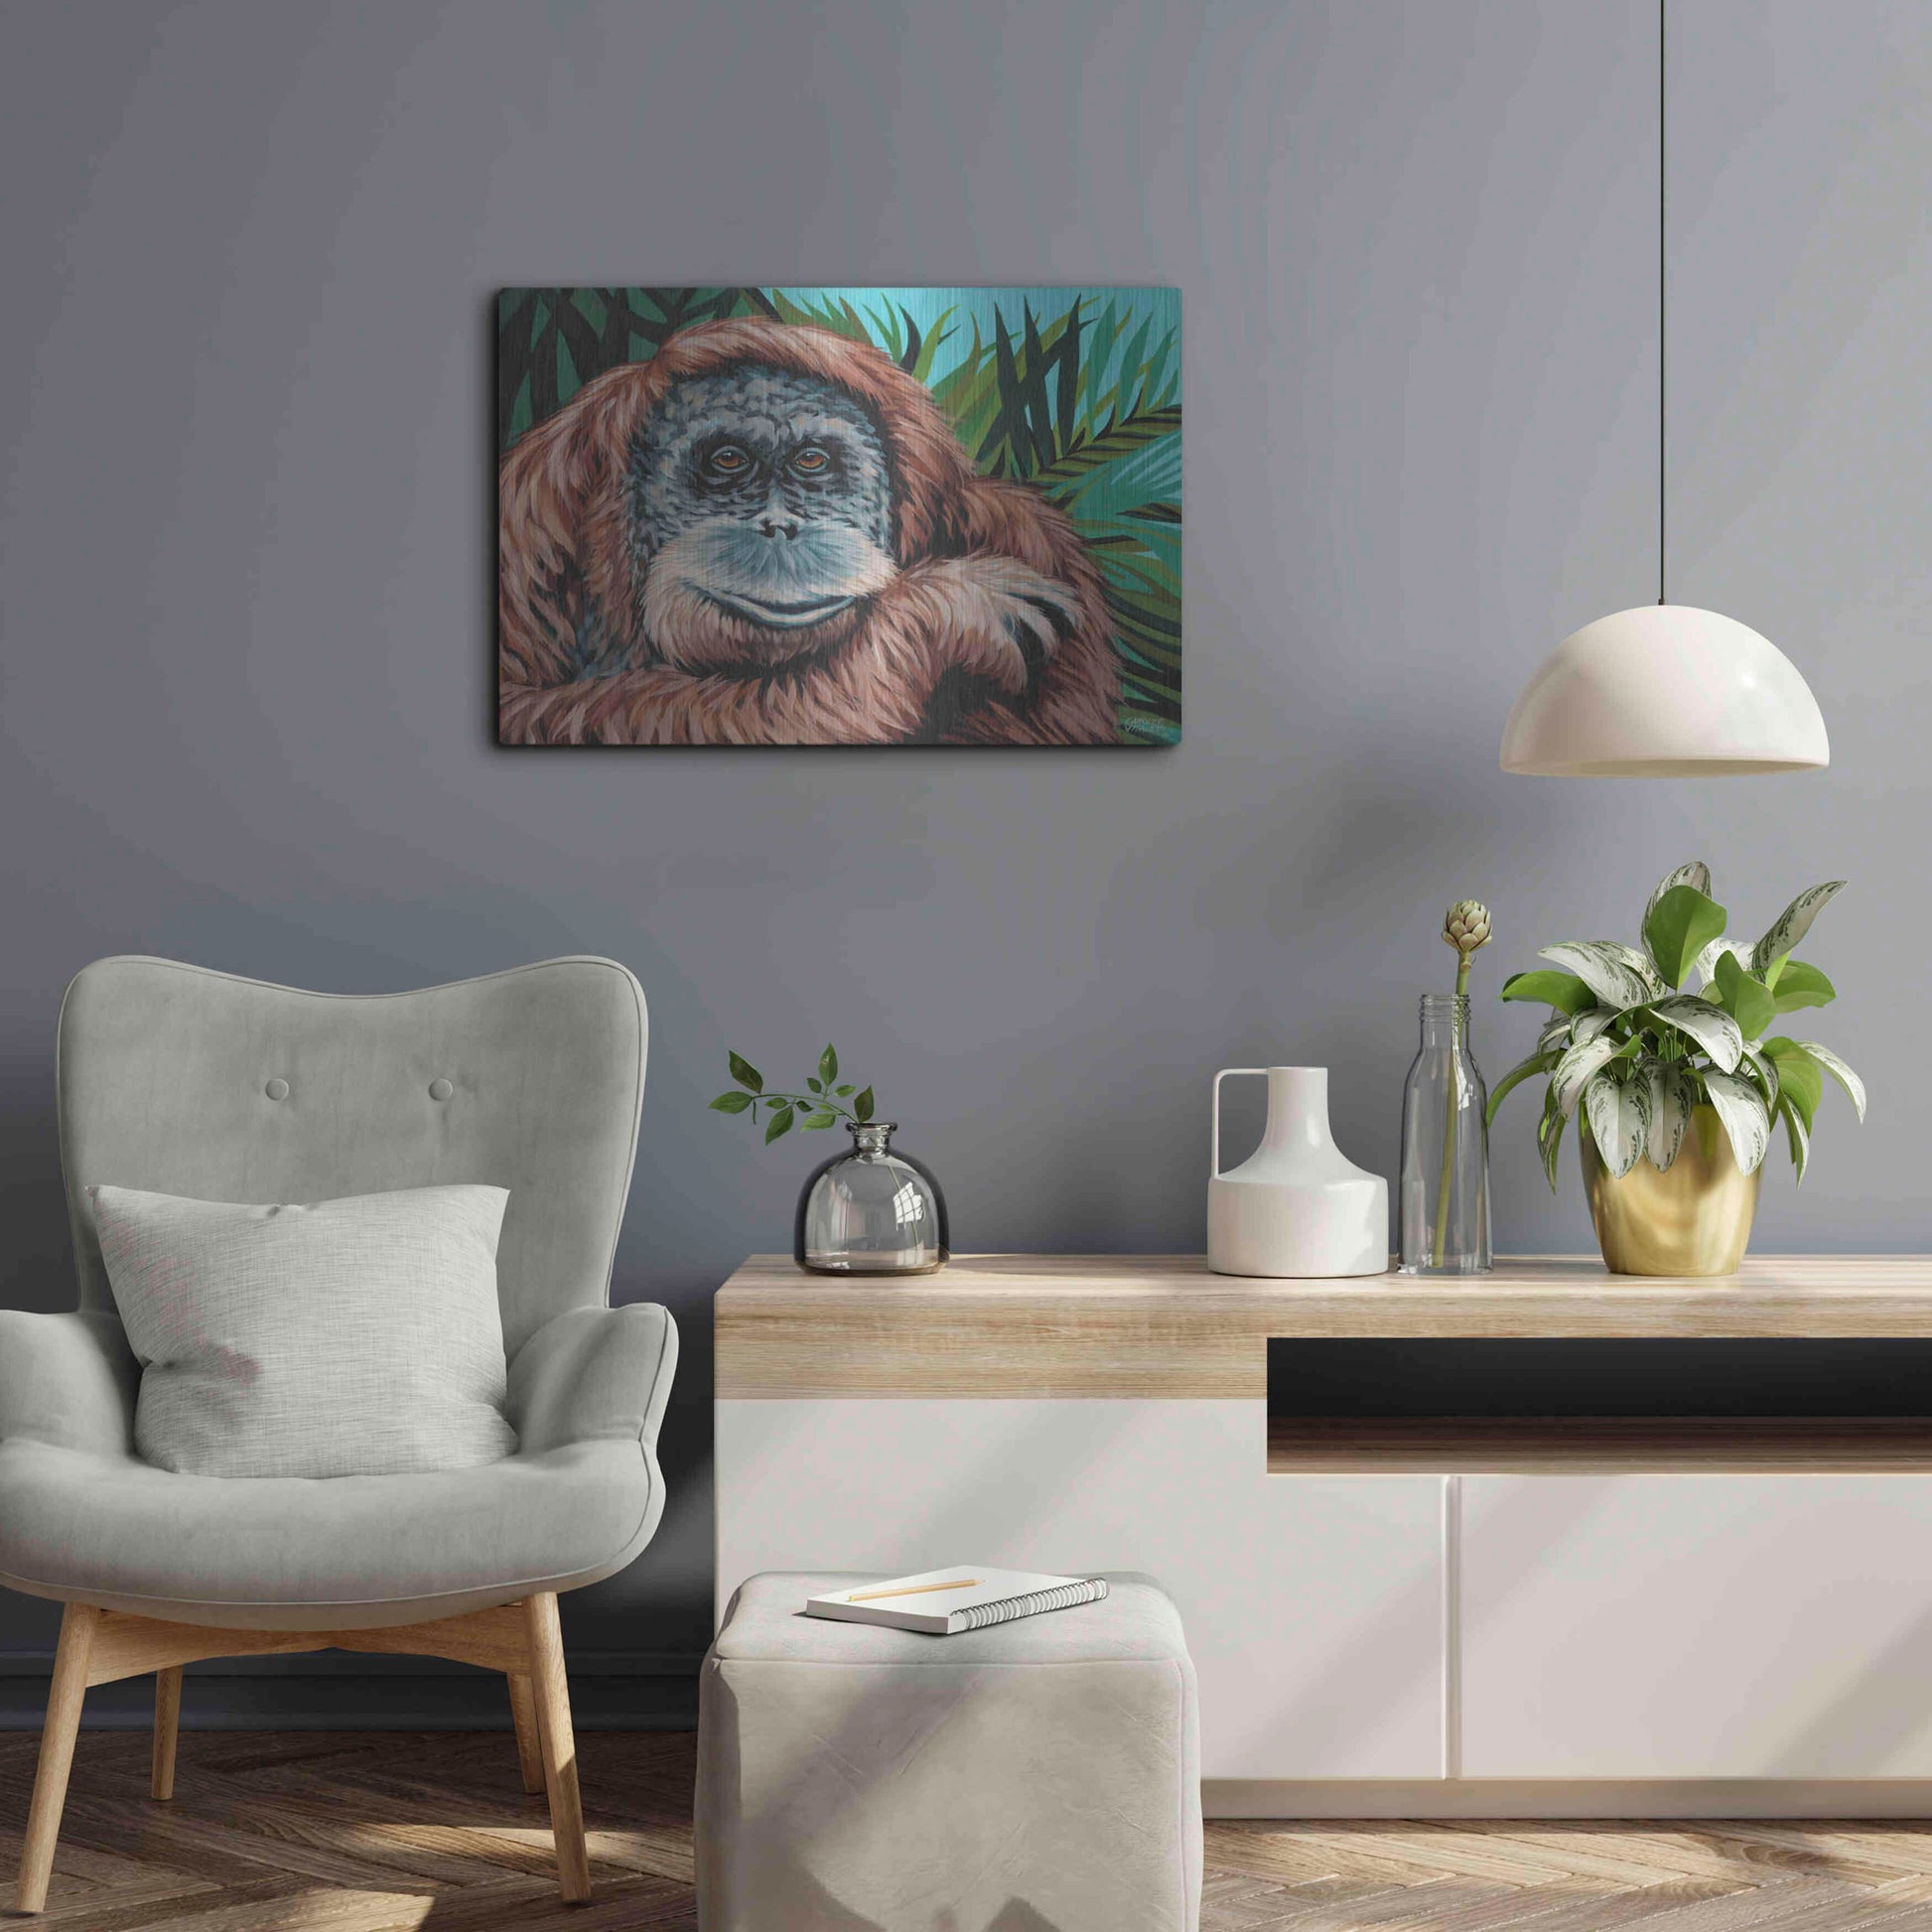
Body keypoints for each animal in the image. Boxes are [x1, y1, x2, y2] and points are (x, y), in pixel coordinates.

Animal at [498, 317, 1122, 746]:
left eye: (812, 462)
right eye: (728, 461)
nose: (779, 527)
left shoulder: (1028, 532)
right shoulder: (526, 524)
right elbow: (524, 710)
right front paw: (938, 611)